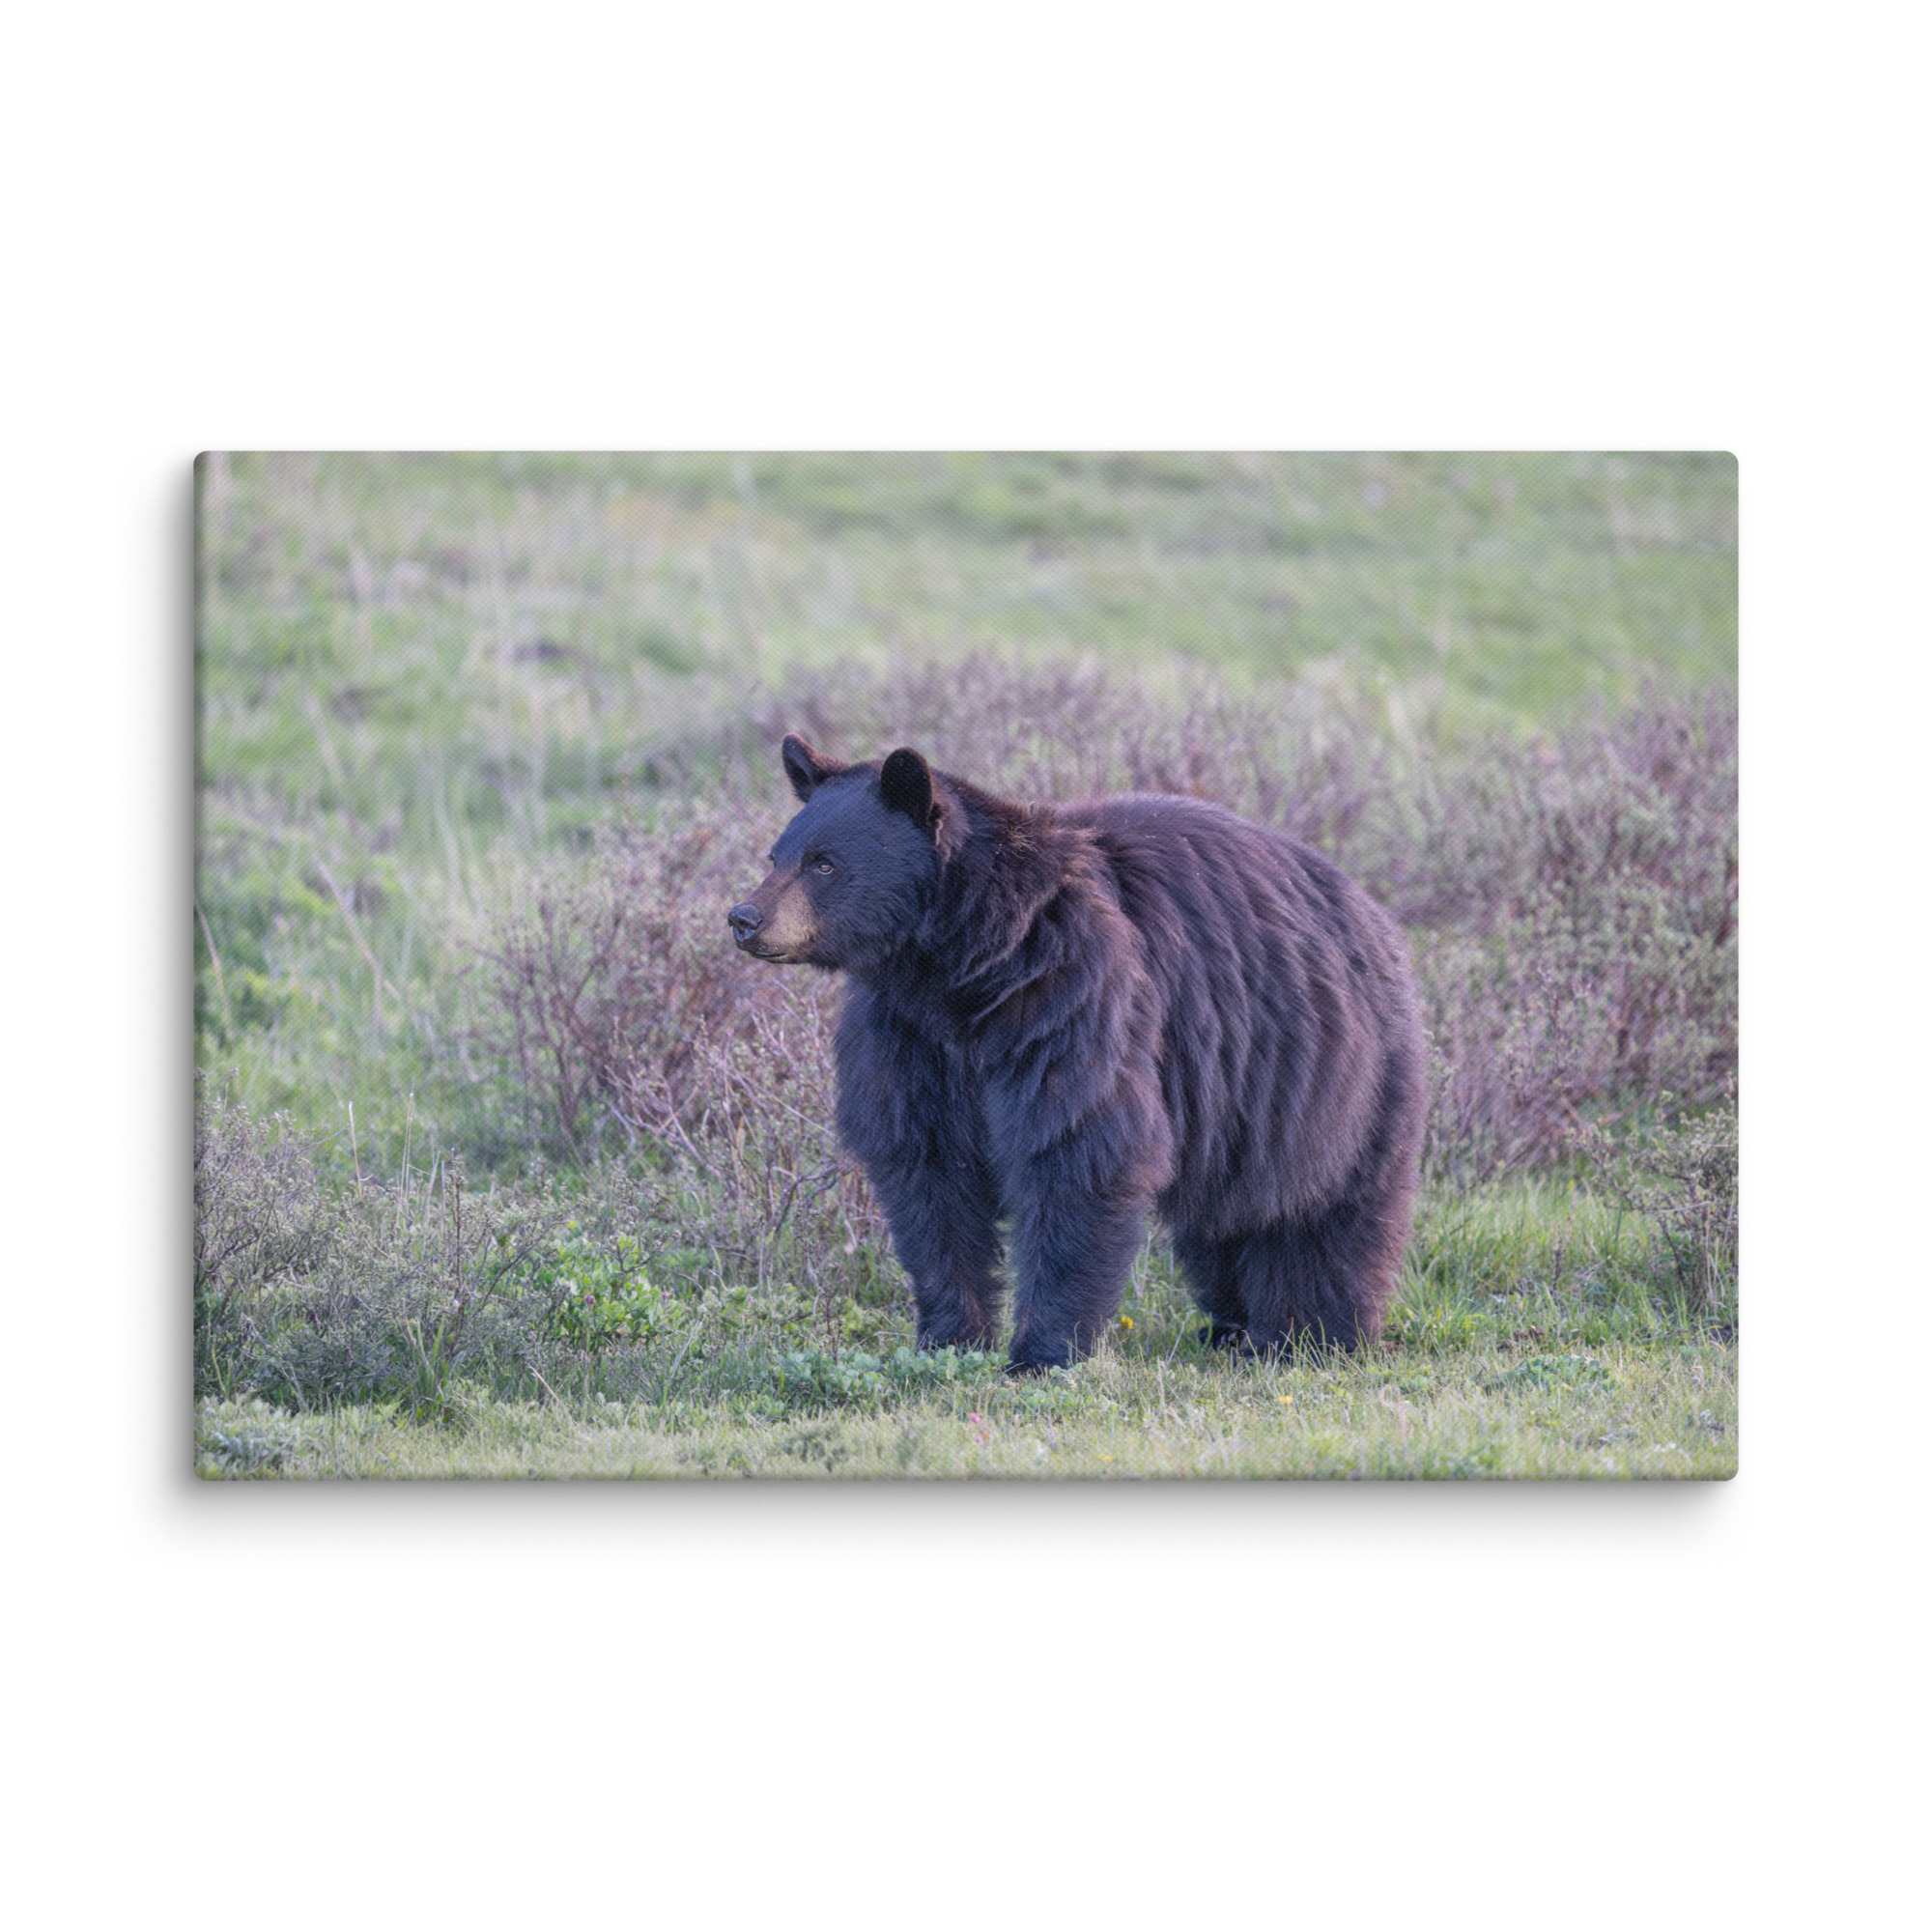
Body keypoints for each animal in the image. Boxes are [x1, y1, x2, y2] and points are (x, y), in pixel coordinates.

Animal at [727, 734, 1427, 1373]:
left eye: (823, 863)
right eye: (776, 854)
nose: (744, 917)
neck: (961, 968)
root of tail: (1372, 910)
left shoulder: (1070, 995)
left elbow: (1077, 1148)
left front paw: (1041, 1352)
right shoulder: (909, 1037)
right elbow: (927, 1173)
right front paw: (948, 1338)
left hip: (1332, 1076)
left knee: (1325, 1212)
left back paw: (1310, 1333)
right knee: (1225, 1220)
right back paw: (1231, 1327)